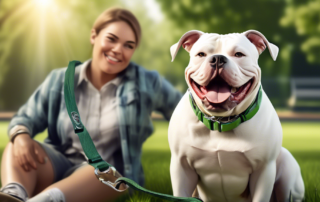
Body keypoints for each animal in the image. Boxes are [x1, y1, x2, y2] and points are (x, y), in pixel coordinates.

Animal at [168, 30, 304, 202]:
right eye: (201, 54)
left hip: (286, 166)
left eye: (239, 54)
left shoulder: (264, 169)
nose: (217, 59)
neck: (221, 121)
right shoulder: (181, 166)